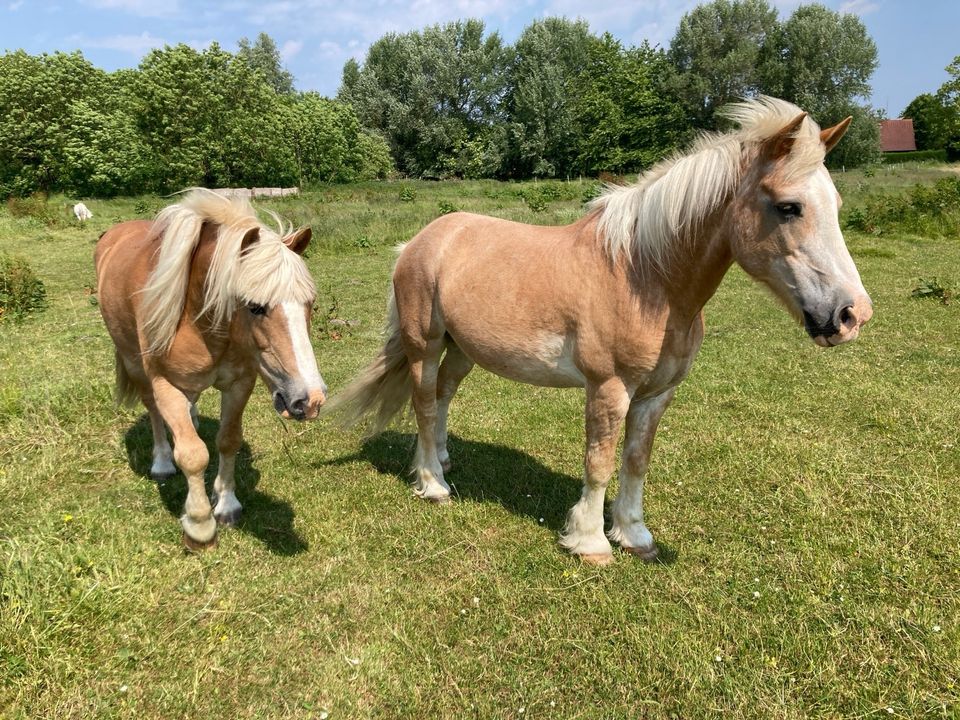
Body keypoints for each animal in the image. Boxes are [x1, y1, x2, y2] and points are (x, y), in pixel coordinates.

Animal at [95, 188, 326, 548]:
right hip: (135, 365)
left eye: (309, 303)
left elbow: (227, 440)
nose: (310, 400)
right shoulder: (165, 384)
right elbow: (193, 454)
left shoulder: (239, 384)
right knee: (154, 413)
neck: (197, 320)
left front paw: (227, 504)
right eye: (255, 307)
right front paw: (200, 524)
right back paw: (162, 462)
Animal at [326, 98, 872, 564]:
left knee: (441, 396)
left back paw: (439, 459)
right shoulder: (609, 389)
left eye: (836, 203)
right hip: (425, 343)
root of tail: (419, 241)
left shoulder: (656, 395)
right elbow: (600, 462)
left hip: (464, 350)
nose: (851, 314)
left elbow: (635, 461)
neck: (647, 277)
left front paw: (634, 535)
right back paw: (433, 484)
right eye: (788, 206)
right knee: (421, 401)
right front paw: (589, 541)